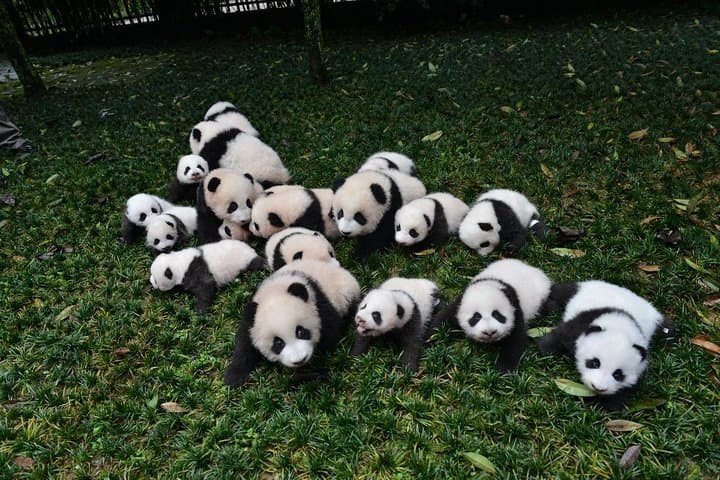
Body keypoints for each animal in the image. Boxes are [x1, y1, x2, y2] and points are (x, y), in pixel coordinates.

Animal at [224, 259, 361, 387]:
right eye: (278, 343)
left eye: (301, 332)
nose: (299, 360)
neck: (275, 291)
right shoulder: (252, 321)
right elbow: (244, 344)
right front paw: (234, 378)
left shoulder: (318, 303)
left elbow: (332, 331)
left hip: (346, 293)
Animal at [537, 280, 674, 411]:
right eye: (595, 363)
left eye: (618, 374)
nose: (598, 388)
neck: (621, 326)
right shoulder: (583, 323)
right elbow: (562, 335)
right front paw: (546, 351)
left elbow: (626, 389)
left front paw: (602, 405)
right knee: (560, 292)